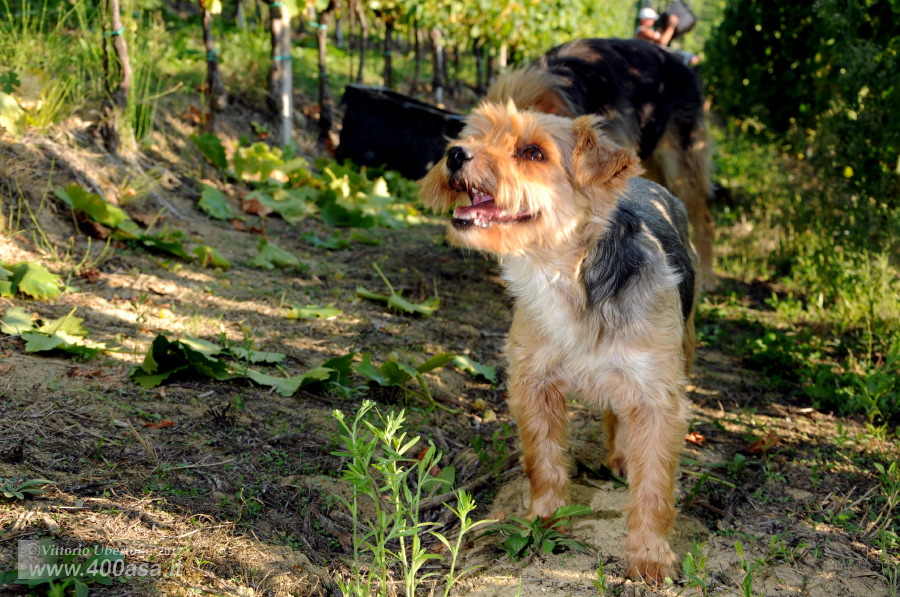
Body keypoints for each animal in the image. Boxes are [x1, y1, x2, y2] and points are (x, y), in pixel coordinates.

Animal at [418, 102, 700, 584]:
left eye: (533, 153)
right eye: (477, 135)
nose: (455, 154)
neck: (567, 276)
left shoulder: (657, 398)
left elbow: (653, 486)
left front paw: (650, 555)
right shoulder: (533, 382)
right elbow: (544, 460)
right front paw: (544, 520)